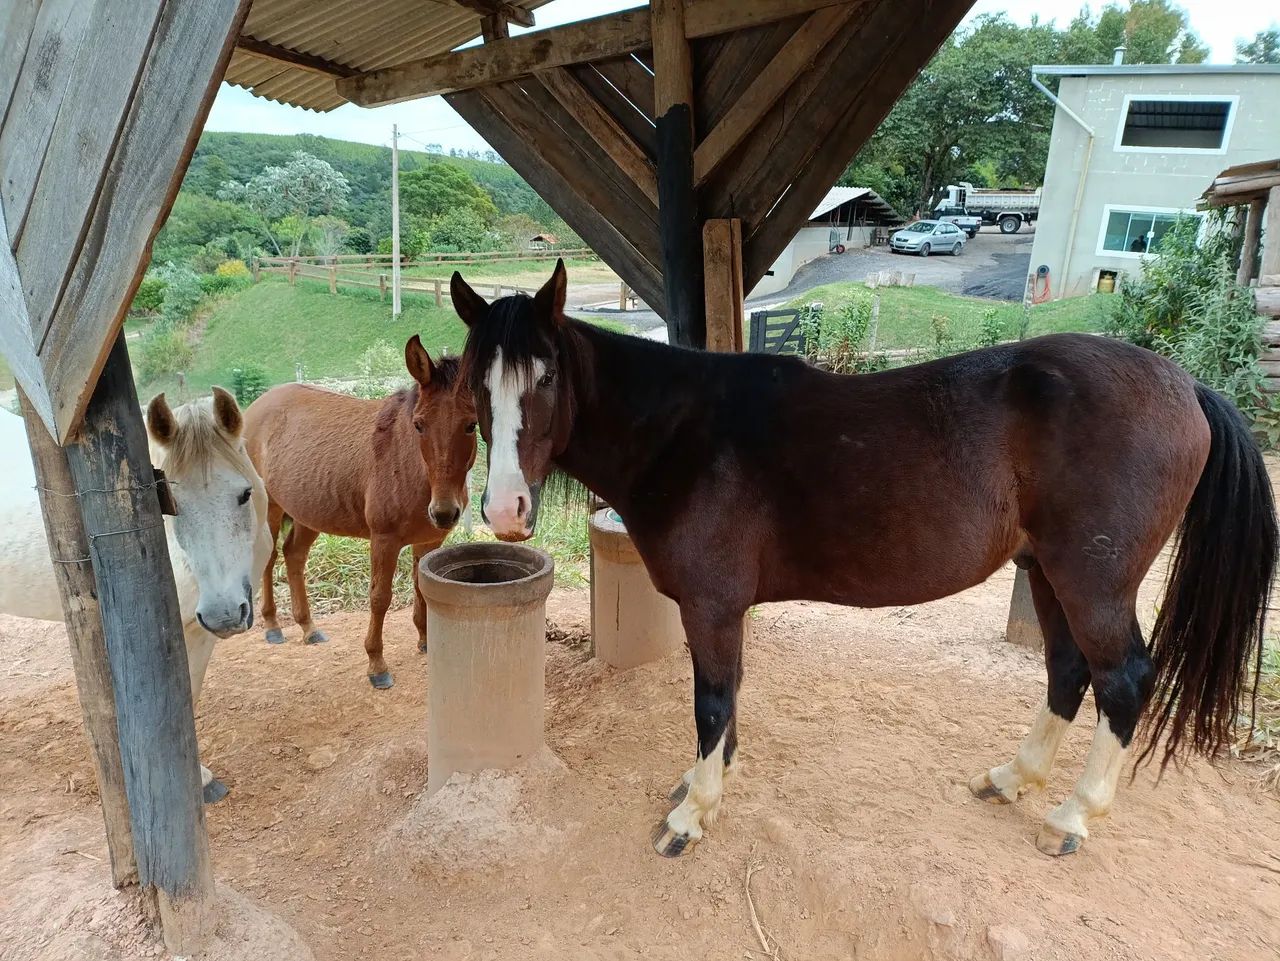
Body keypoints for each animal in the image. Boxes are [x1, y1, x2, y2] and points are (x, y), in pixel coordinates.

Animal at [243, 336, 477, 689]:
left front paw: (426, 640)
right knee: (269, 558)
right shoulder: (384, 540)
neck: (406, 462)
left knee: (293, 555)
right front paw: (376, 664)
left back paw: (308, 628)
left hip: (309, 511)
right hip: (269, 506)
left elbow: (422, 588)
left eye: (471, 424)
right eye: (419, 424)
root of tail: (255, 406)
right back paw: (272, 626)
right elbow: (380, 598)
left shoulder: (428, 541)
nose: (444, 513)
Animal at [454, 260, 1277, 859]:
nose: (504, 510)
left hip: (1092, 581)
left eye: (546, 377)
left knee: (1123, 680)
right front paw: (702, 783)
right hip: (1046, 572)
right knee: (1070, 671)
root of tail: (1188, 386)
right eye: (472, 381)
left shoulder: (712, 606)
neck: (685, 432)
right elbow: (726, 703)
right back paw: (1012, 777)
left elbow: (712, 702)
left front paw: (694, 813)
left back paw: (1073, 816)